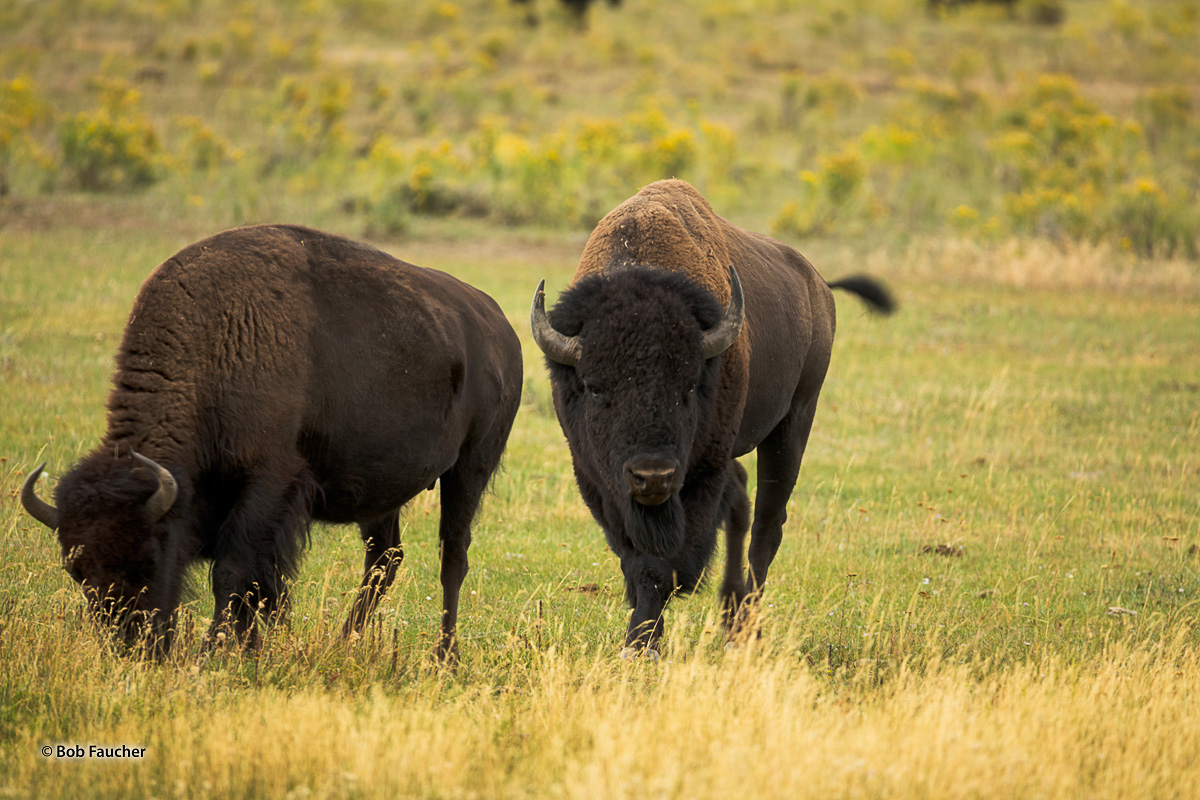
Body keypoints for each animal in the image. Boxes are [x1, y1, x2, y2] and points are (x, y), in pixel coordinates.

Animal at [21, 224, 523, 662]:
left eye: (147, 559)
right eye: (77, 572)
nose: (134, 646)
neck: (216, 338)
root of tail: (501, 327)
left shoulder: (268, 481)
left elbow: (233, 572)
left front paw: (214, 651)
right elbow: (256, 584)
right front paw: (248, 648)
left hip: (470, 469)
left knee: (452, 556)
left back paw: (444, 657)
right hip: (384, 492)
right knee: (385, 559)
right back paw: (343, 642)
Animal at [532, 181, 892, 657]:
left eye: (689, 386)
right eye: (594, 387)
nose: (653, 476)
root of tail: (818, 286)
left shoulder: (701, 472)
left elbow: (665, 563)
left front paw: (644, 642)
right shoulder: (597, 480)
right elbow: (635, 557)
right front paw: (640, 640)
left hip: (793, 422)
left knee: (766, 528)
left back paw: (744, 630)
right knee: (742, 505)